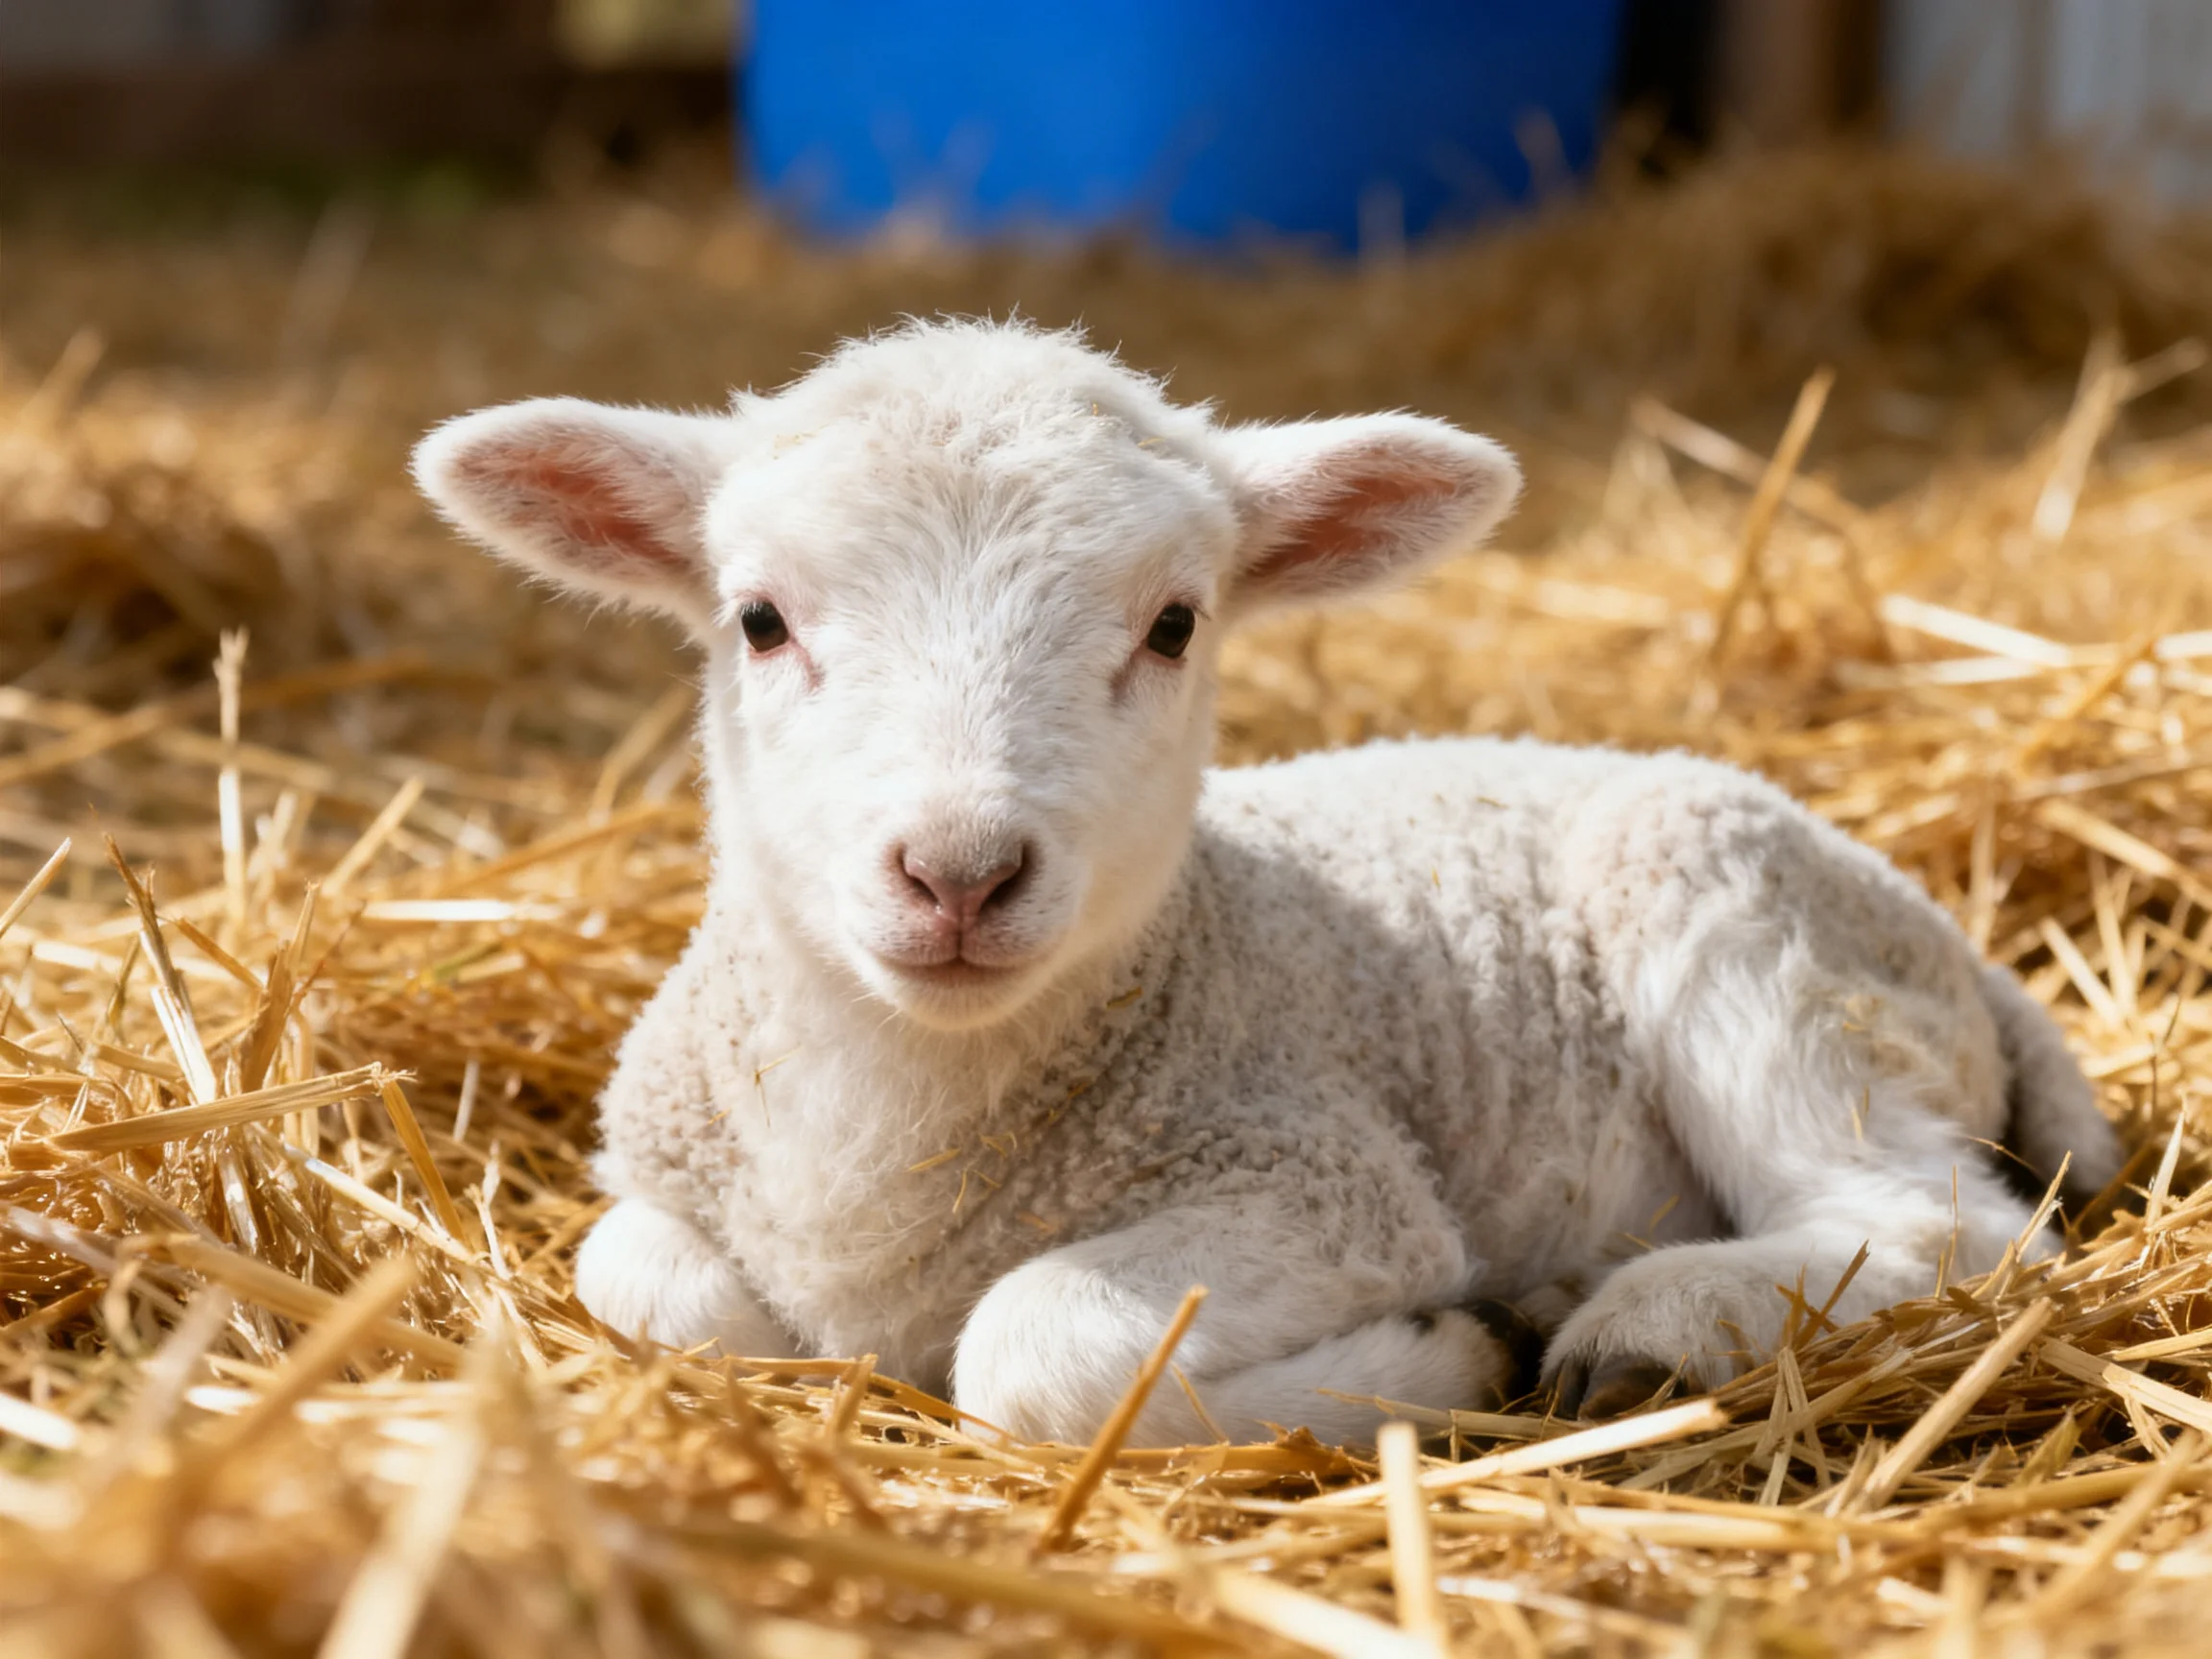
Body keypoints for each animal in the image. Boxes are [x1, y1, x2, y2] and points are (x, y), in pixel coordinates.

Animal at [412, 319, 2123, 1444]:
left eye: (1175, 624)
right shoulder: (660, 1176)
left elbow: (1037, 1345)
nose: (958, 873)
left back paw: (1649, 1326)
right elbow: (649, 1285)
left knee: (1936, 1223)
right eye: (760, 620)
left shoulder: (1332, 1187)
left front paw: (1445, 1356)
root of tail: (1947, 939)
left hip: (1742, 931)